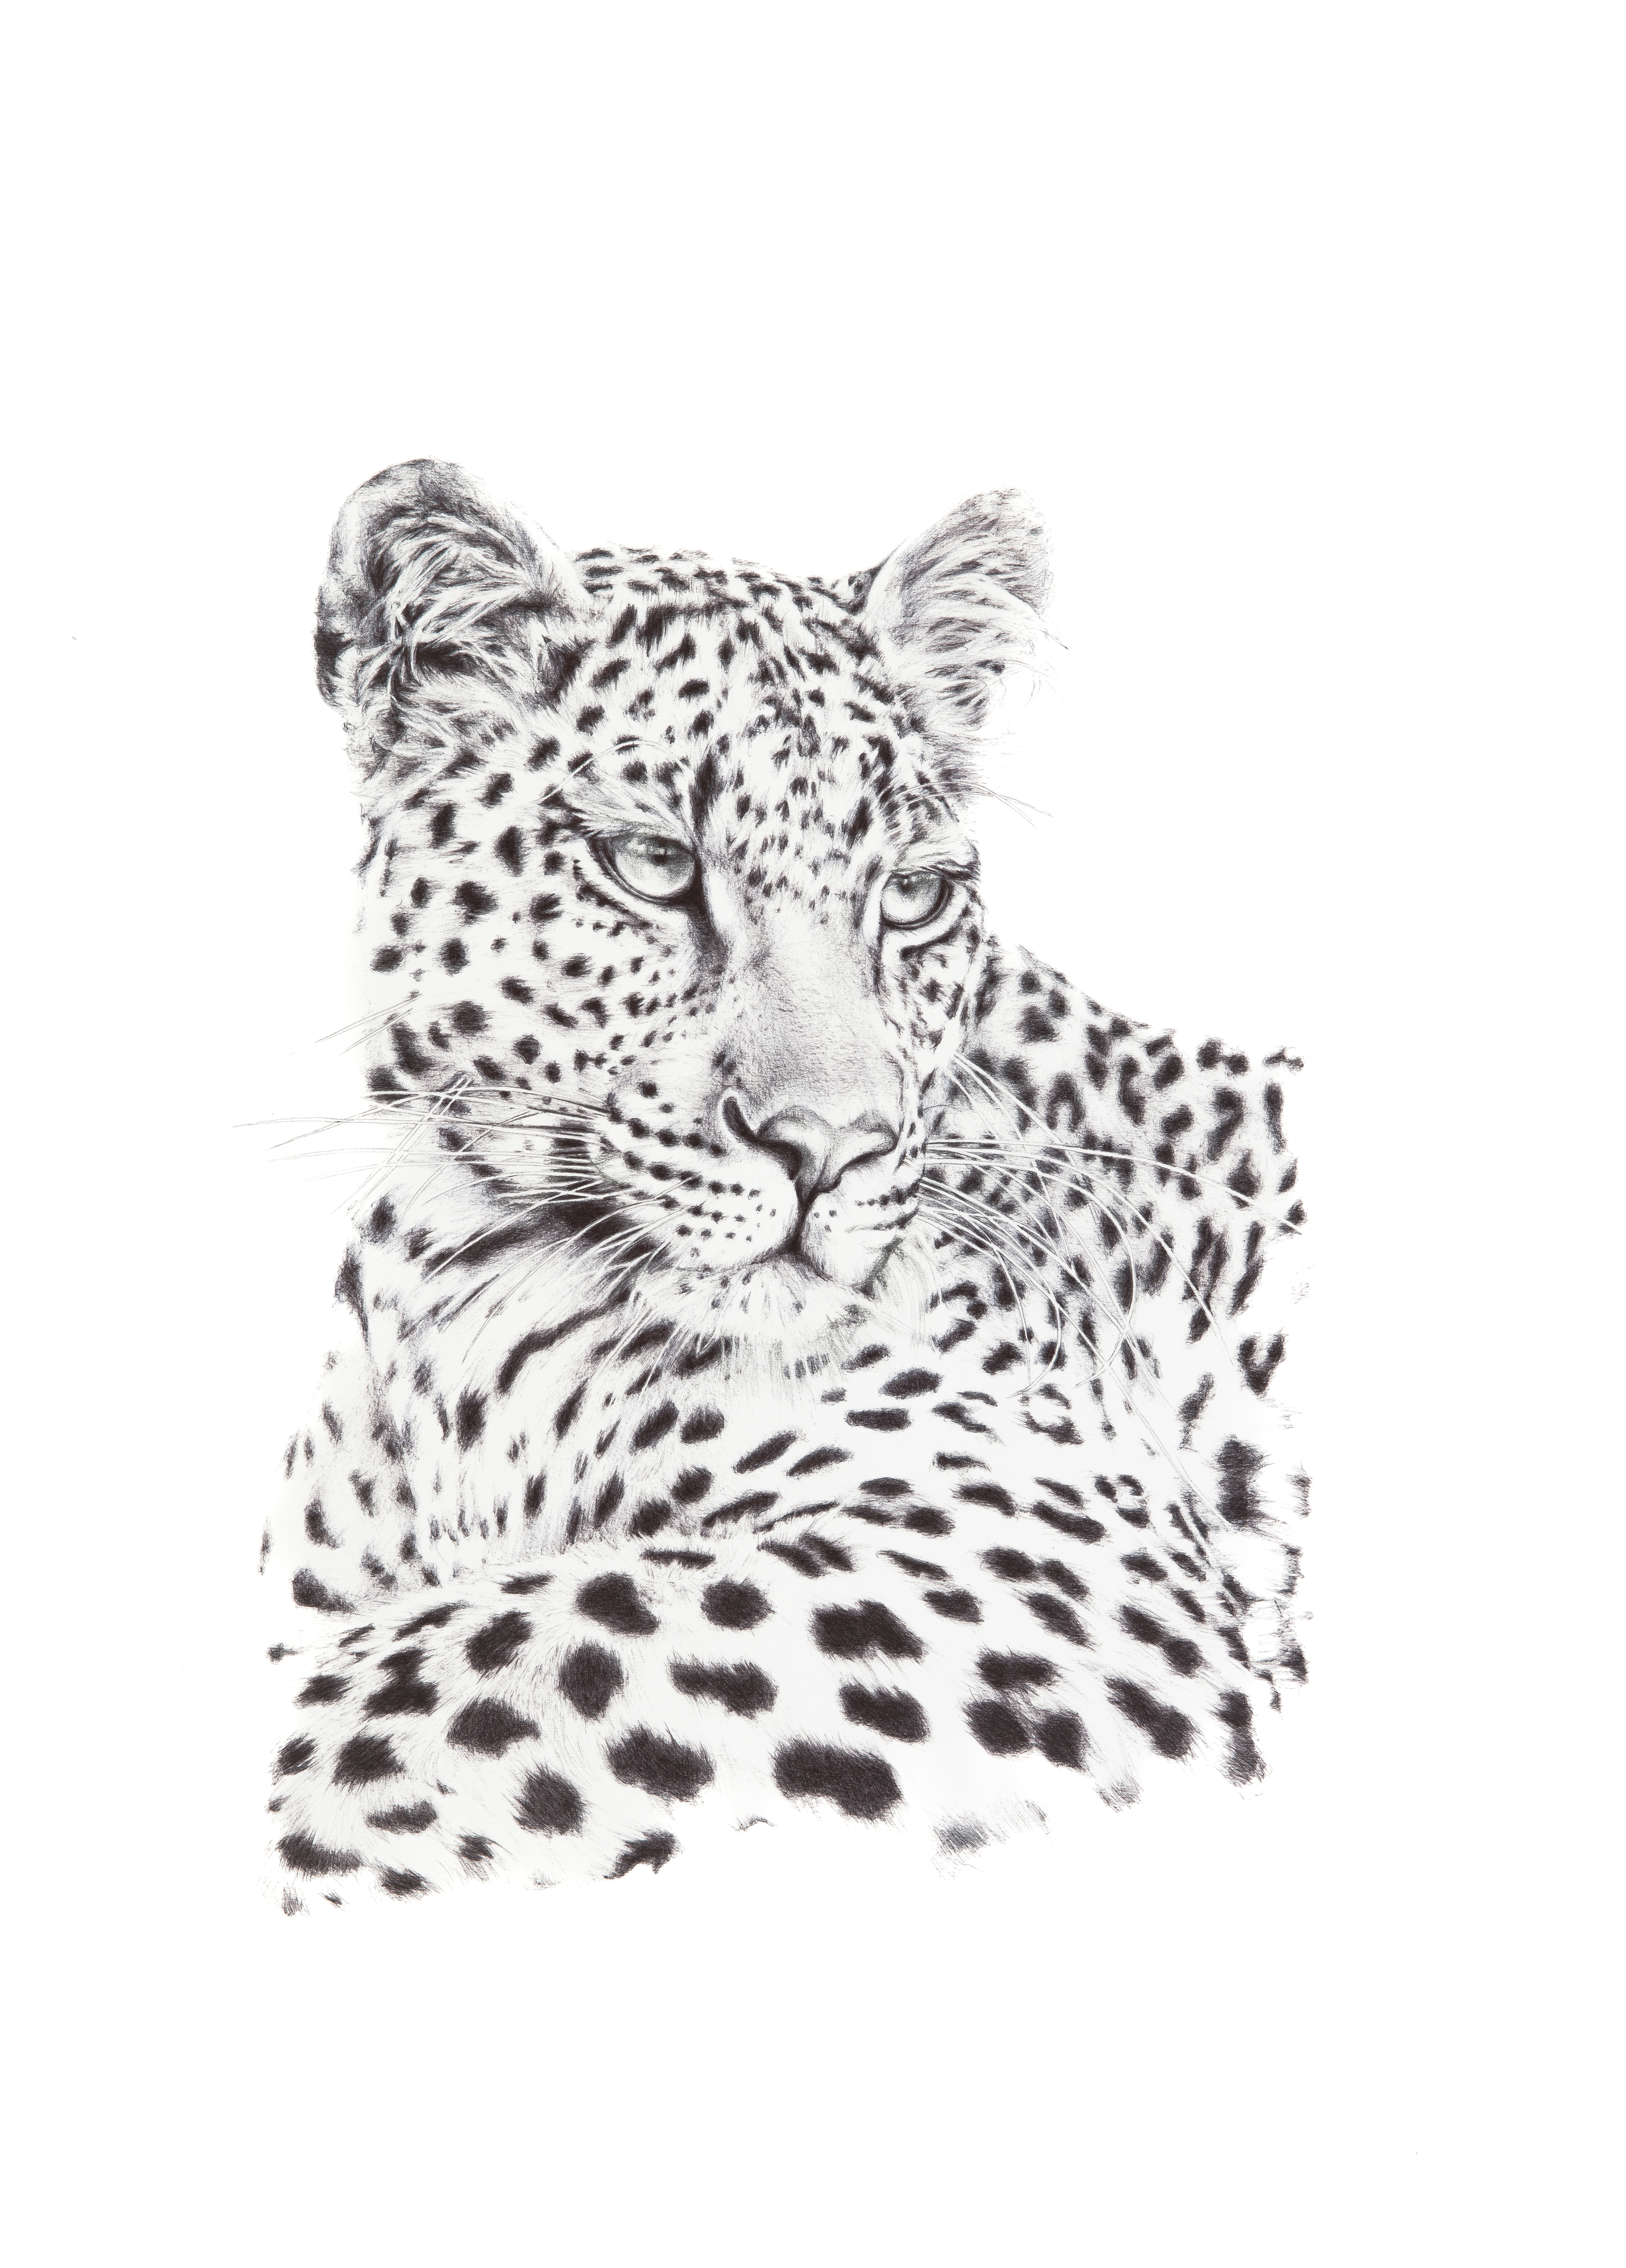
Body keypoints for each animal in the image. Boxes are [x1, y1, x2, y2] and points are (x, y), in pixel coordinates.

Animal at [261, 458, 1308, 1912]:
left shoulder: (1059, 1541)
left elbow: (481, 1655)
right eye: (651, 866)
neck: (467, 1297)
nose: (830, 1147)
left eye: (912, 897)